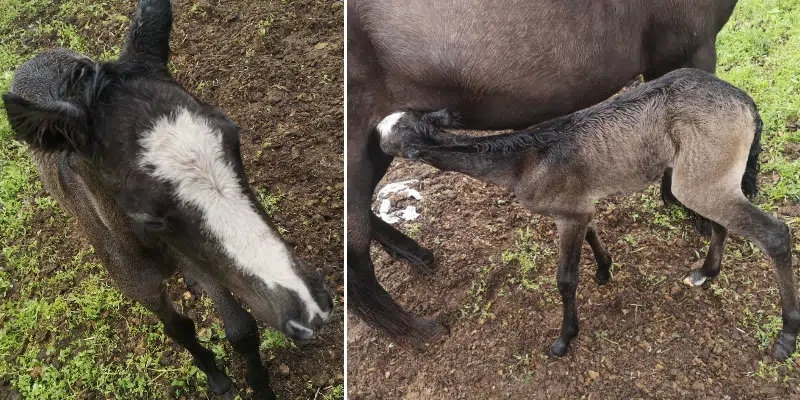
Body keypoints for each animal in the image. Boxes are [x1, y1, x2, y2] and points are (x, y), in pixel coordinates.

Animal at [2, 1, 332, 398]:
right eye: (149, 214)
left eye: (234, 140)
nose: (311, 306)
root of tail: (35, 59)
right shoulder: (142, 288)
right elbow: (179, 329)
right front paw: (217, 378)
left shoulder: (204, 259)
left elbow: (241, 329)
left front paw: (259, 387)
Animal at [380, 69, 800, 362]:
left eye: (388, 137)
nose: (375, 137)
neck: (522, 162)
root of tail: (746, 103)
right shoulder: (579, 206)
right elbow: (594, 231)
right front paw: (604, 268)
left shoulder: (567, 213)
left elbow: (565, 280)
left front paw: (564, 339)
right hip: (708, 175)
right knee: (720, 220)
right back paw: (706, 272)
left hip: (703, 174)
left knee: (775, 233)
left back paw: (787, 337)